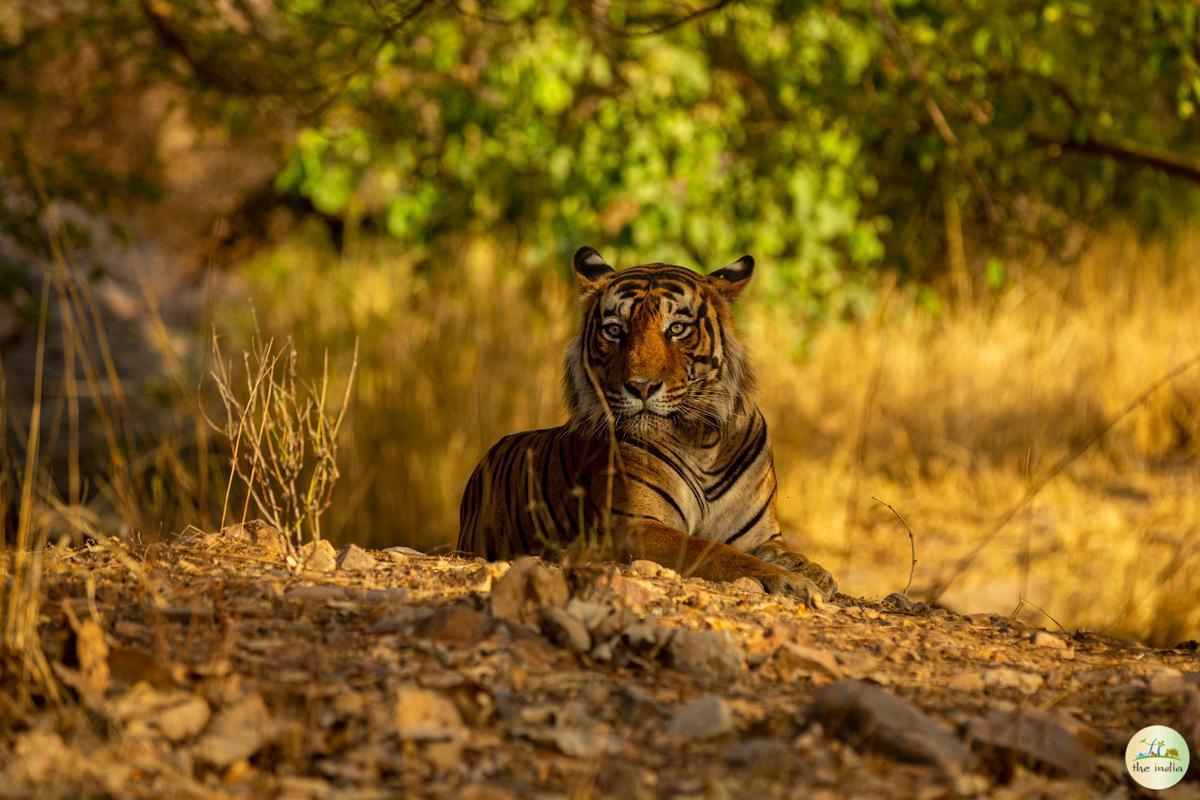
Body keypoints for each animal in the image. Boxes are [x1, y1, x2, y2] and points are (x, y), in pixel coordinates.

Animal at [453, 247, 840, 604]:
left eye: (677, 329)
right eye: (614, 331)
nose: (641, 386)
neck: (701, 441)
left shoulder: (761, 535)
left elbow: (786, 553)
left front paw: (814, 572)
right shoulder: (635, 526)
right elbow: (711, 550)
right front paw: (789, 582)